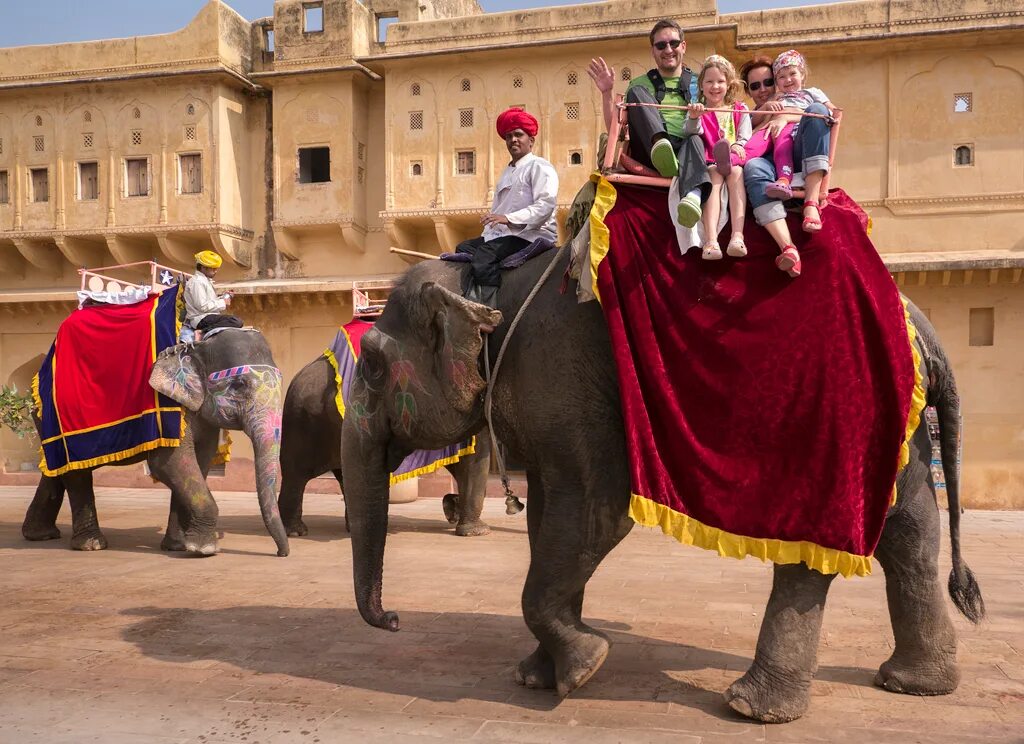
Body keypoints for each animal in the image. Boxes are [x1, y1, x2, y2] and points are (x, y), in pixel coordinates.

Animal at [20, 329, 292, 556]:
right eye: (238, 385)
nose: (281, 553)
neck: (196, 347)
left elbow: (199, 463)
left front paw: (178, 546)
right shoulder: (166, 405)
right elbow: (169, 463)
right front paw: (203, 550)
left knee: (56, 469)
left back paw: (40, 535)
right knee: (76, 473)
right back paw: (91, 545)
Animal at [276, 352, 491, 540]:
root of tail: (296, 377)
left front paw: (453, 510)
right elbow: (475, 462)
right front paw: (476, 532)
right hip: (304, 422)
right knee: (296, 473)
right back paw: (295, 532)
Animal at [342, 254, 983, 720]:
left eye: (371, 364)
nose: (394, 620)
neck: (487, 282)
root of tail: (921, 322)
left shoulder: (564, 375)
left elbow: (596, 509)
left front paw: (585, 668)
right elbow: (550, 516)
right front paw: (538, 675)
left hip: (827, 421)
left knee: (820, 543)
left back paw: (751, 707)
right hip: (896, 424)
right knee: (910, 533)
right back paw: (913, 685)